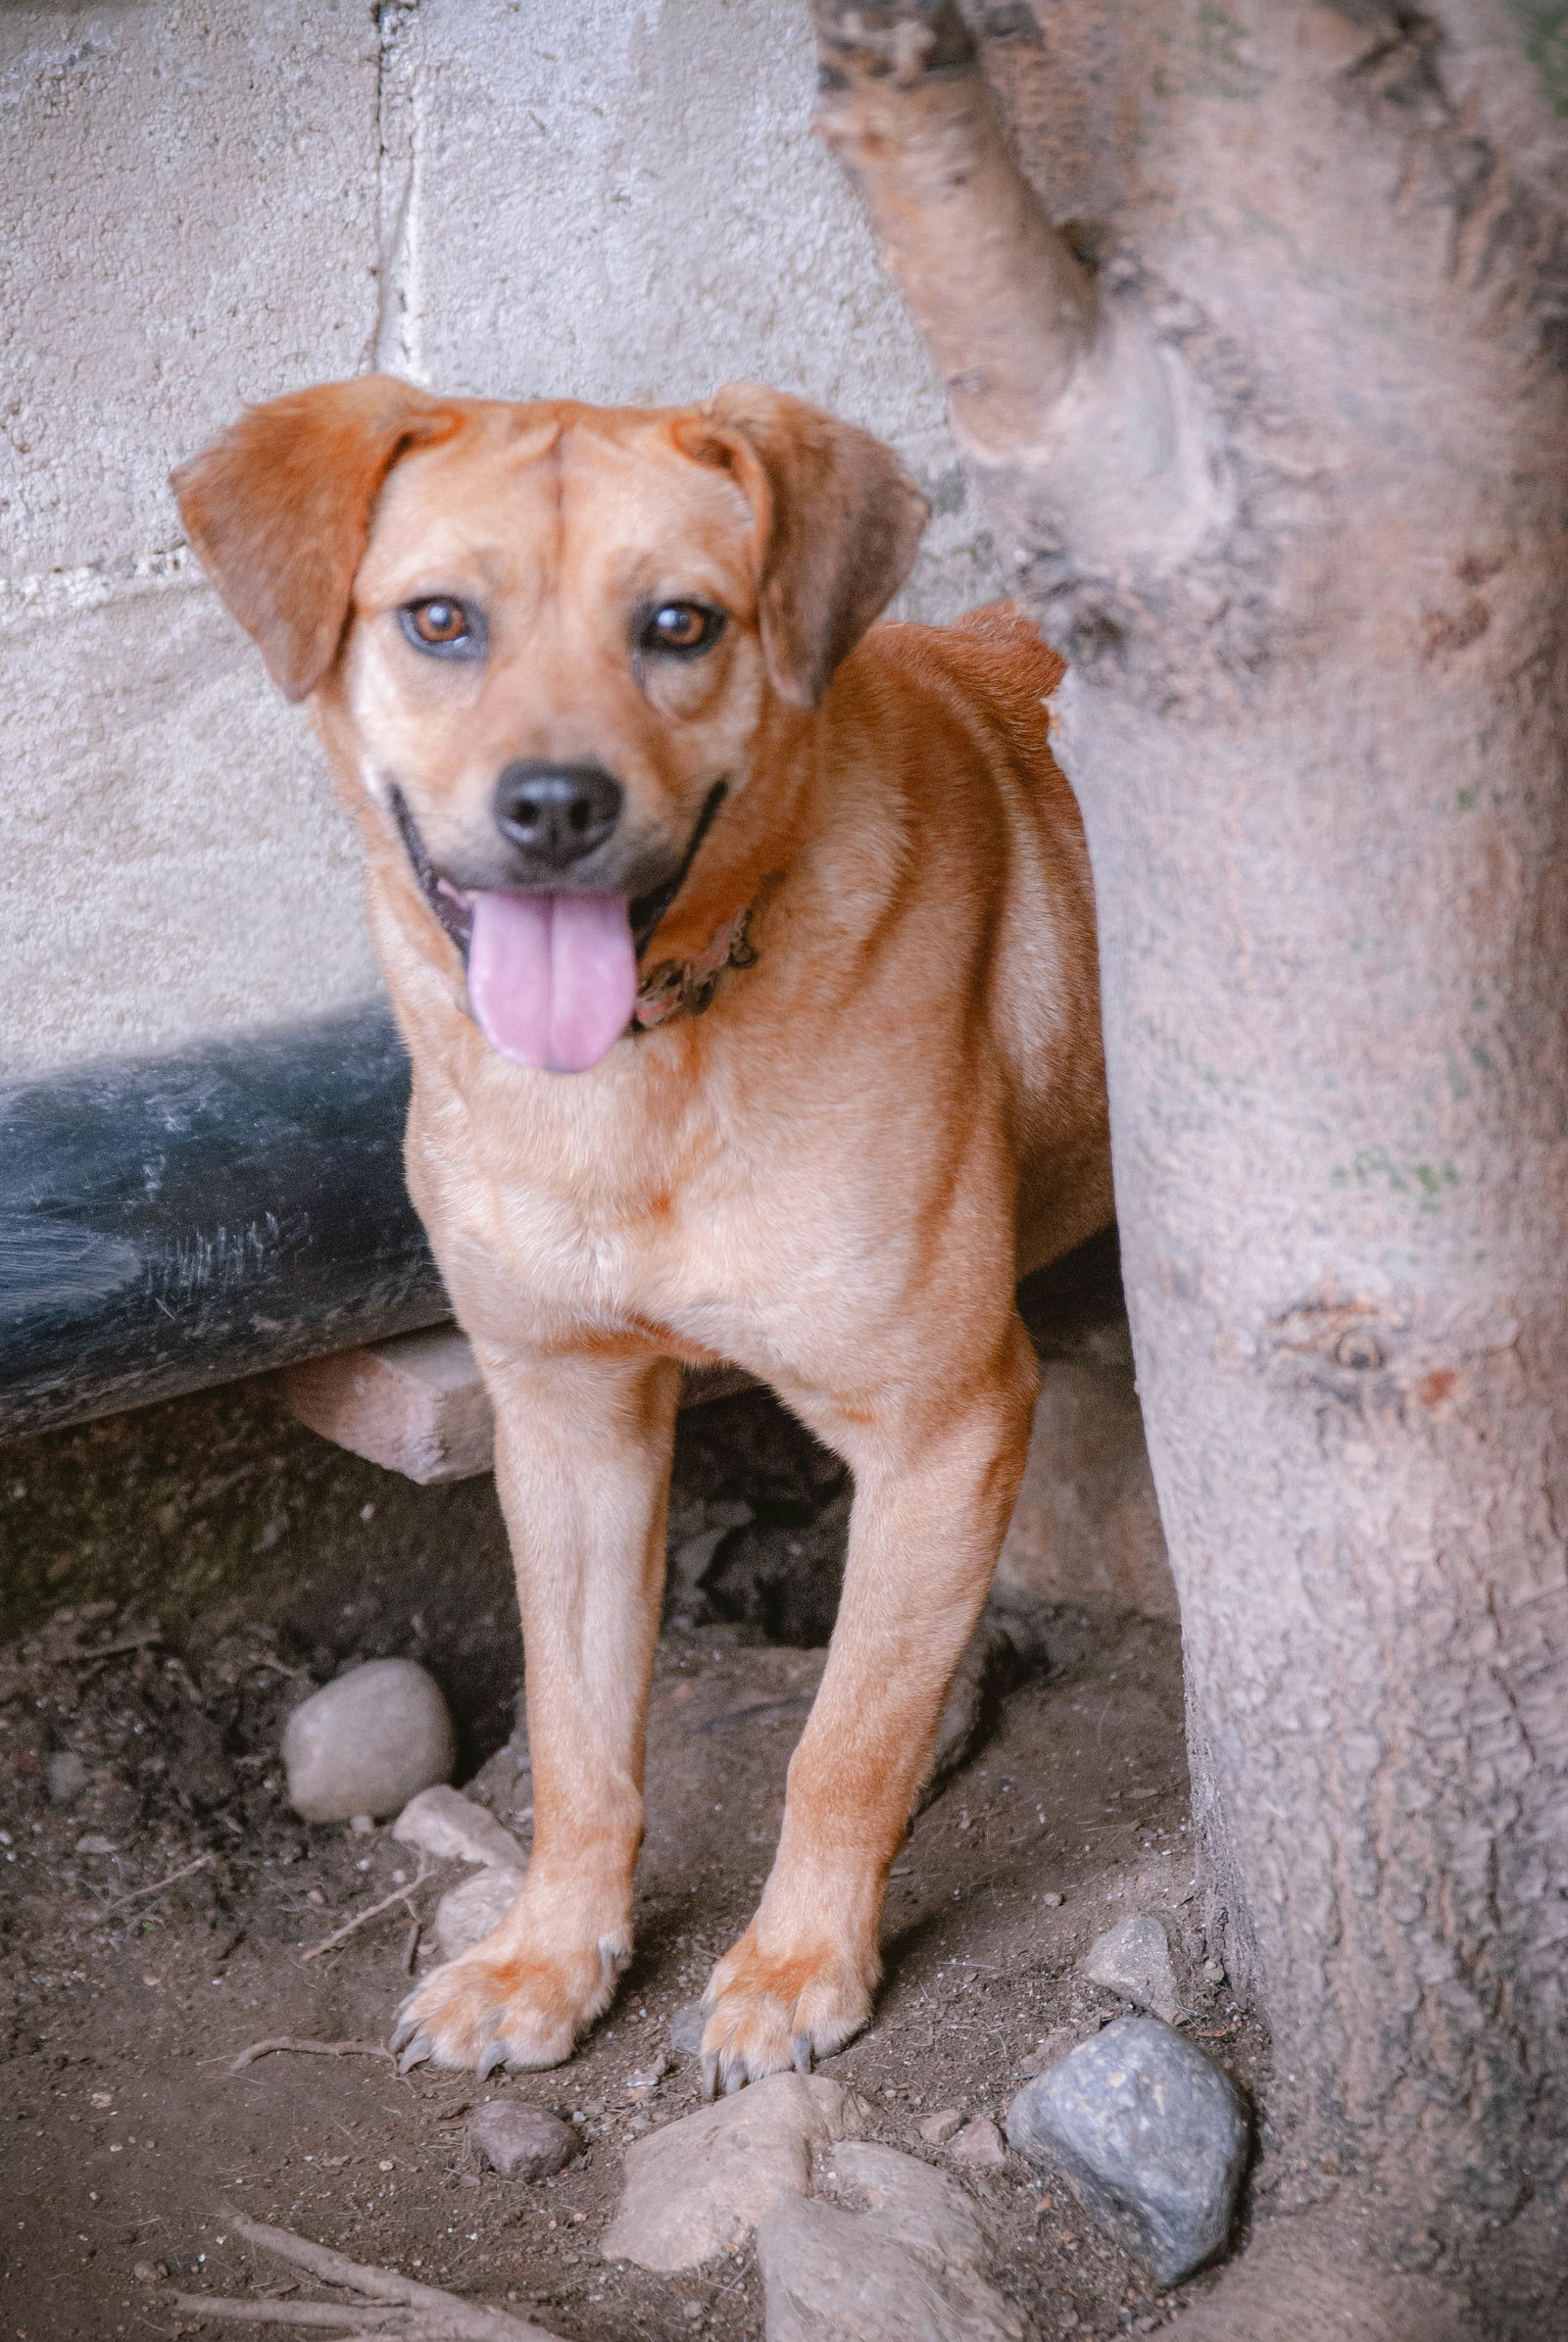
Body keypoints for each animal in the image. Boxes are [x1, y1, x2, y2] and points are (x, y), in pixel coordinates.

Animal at [174, 379, 1110, 2088]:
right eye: (441, 619)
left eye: (681, 623)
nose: (555, 806)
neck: (639, 1072)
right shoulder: (567, 1415)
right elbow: (578, 1735)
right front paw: (549, 1957)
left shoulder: (944, 1424)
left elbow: (844, 1740)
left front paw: (798, 1964)